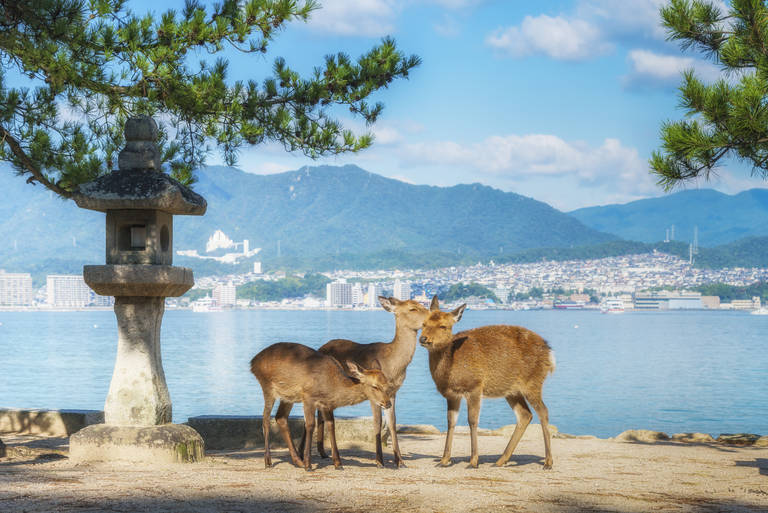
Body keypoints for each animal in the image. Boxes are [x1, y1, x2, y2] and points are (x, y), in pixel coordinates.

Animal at [252, 342, 392, 470]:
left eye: (386, 384)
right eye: (375, 386)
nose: (388, 403)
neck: (331, 386)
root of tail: (253, 362)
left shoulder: (326, 405)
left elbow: (331, 425)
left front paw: (338, 464)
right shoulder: (308, 397)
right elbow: (310, 425)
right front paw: (308, 465)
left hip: (288, 396)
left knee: (280, 417)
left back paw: (298, 461)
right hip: (267, 387)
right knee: (265, 419)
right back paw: (268, 462)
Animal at [300, 296, 432, 468]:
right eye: (412, 308)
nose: (433, 316)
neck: (393, 366)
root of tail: (319, 349)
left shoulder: (393, 392)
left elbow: (392, 423)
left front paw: (400, 461)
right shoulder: (372, 393)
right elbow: (378, 422)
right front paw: (379, 461)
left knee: (320, 414)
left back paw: (323, 452)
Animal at [416, 296, 556, 468]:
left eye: (443, 326)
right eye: (423, 324)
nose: (423, 338)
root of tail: (550, 352)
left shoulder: (475, 387)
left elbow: (472, 420)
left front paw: (473, 461)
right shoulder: (452, 394)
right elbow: (450, 421)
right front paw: (444, 460)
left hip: (533, 382)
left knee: (543, 411)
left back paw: (548, 462)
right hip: (512, 391)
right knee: (525, 415)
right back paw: (501, 460)